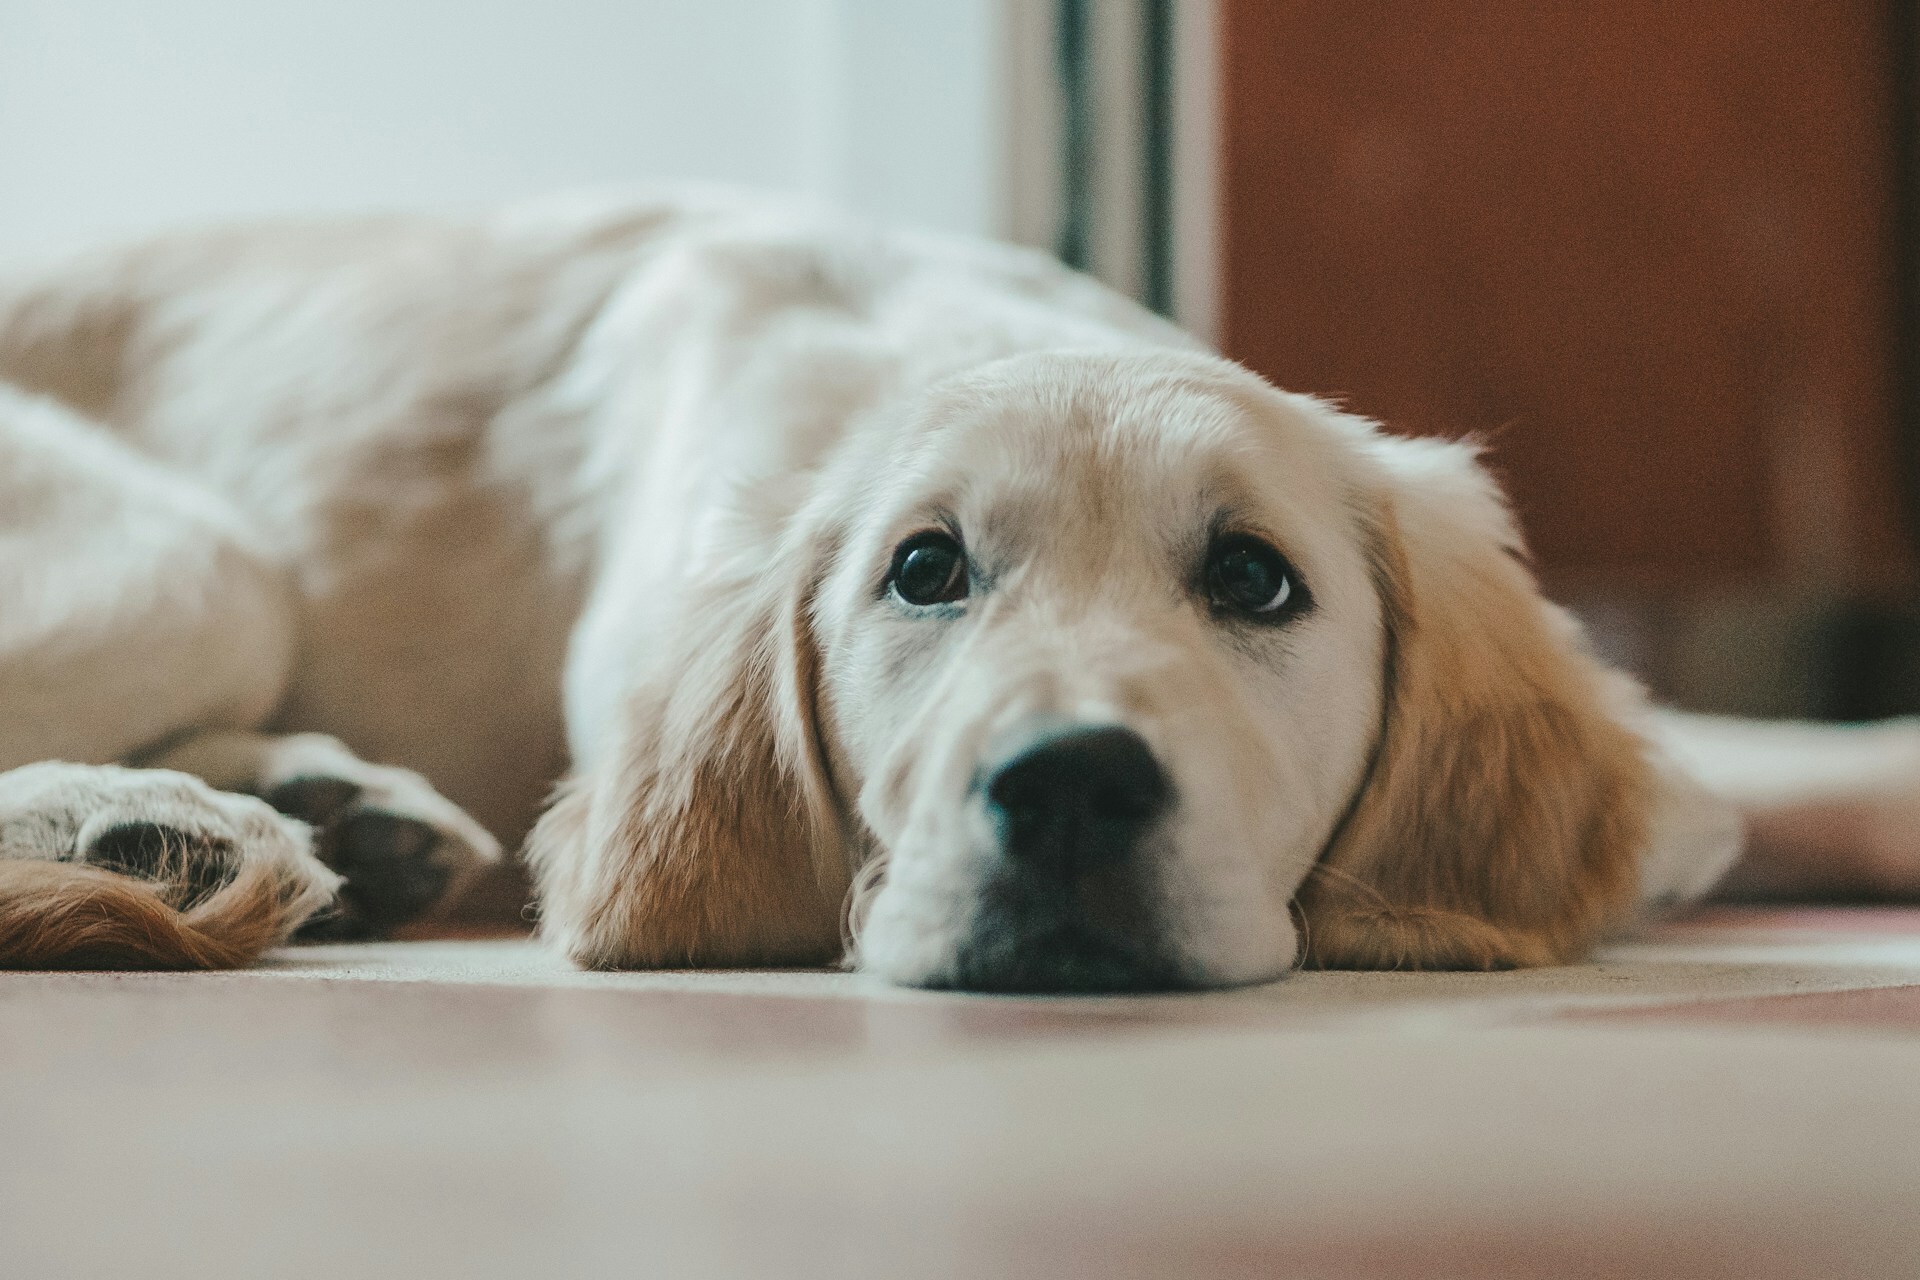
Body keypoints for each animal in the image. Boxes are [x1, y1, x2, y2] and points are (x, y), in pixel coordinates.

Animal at [0, 188, 1912, 990]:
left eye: (1254, 579)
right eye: (921, 572)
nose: (1065, 793)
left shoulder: (1678, 774)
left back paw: (320, 814)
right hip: (191, 563)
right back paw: (152, 830)